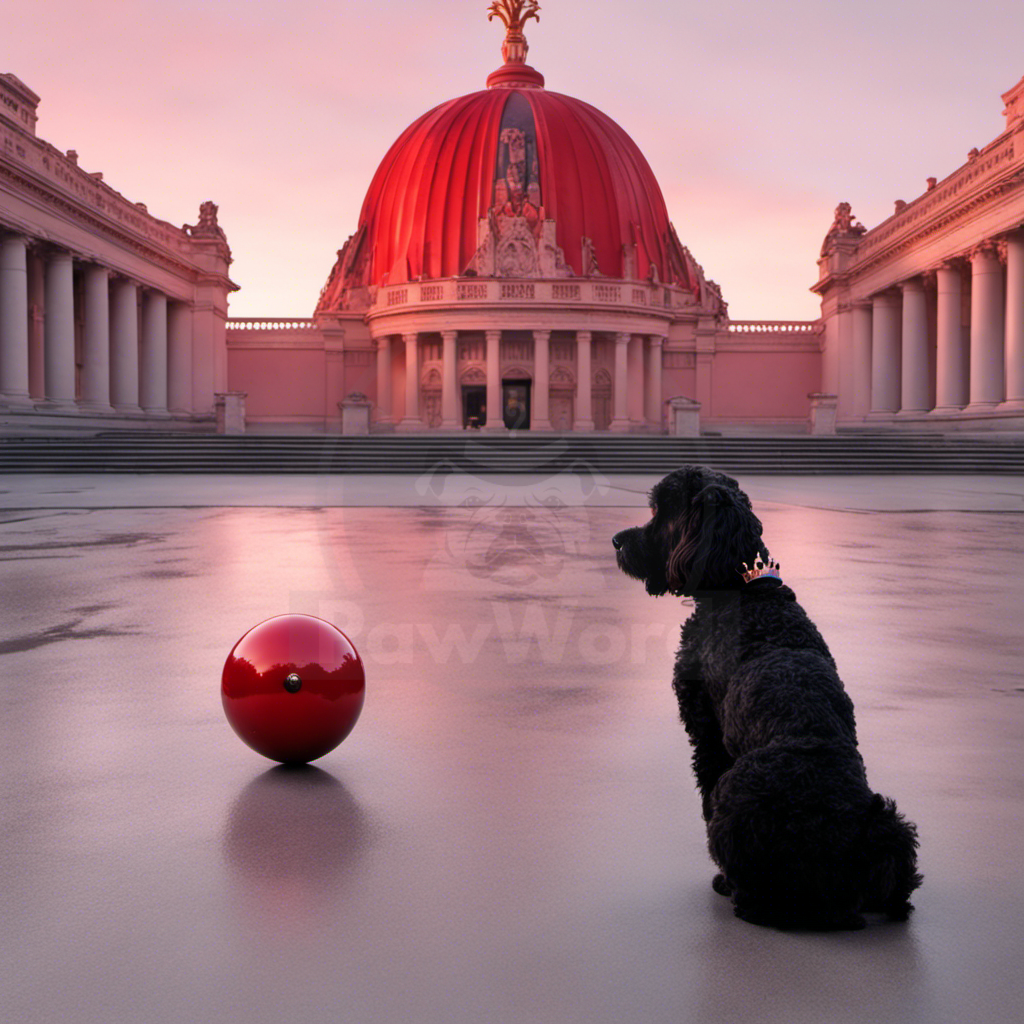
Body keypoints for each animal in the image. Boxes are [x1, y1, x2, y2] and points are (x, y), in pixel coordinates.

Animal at [610, 464, 925, 929]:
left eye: (661, 510)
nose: (616, 540)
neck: (743, 590)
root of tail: (846, 843)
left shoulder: (706, 730)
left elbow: (704, 785)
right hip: (893, 824)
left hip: (736, 794)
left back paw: (733, 889)